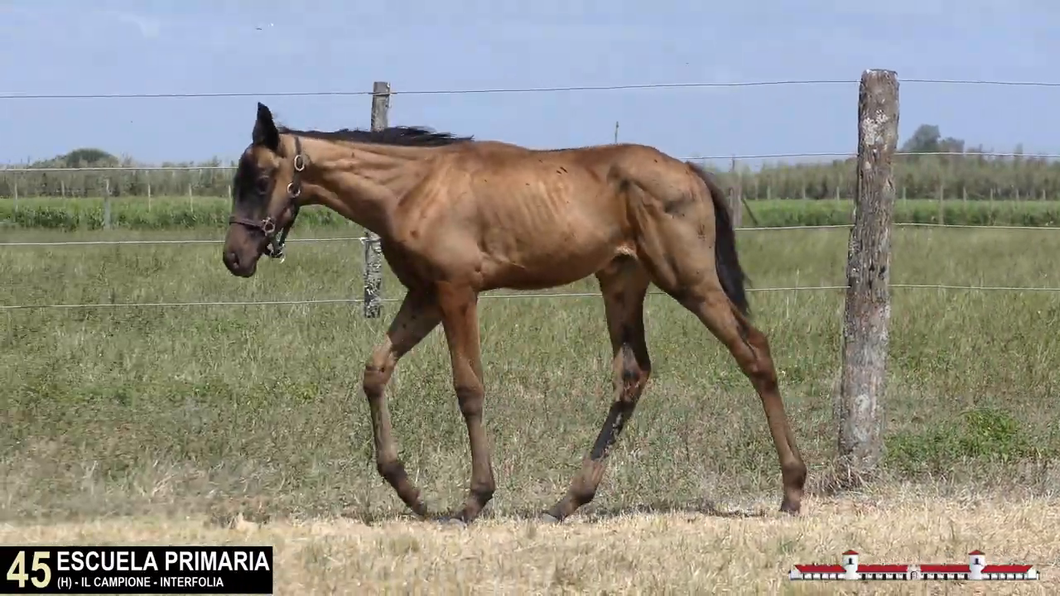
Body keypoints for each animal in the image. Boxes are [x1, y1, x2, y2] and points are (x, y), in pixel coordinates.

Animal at [221, 101, 801, 523]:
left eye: (260, 182)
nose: (234, 257)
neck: (413, 188)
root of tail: (690, 172)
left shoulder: (457, 291)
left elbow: (469, 387)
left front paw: (474, 499)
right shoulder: (423, 296)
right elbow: (376, 370)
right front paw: (410, 491)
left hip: (690, 281)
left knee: (754, 352)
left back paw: (793, 490)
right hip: (622, 283)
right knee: (634, 374)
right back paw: (567, 502)